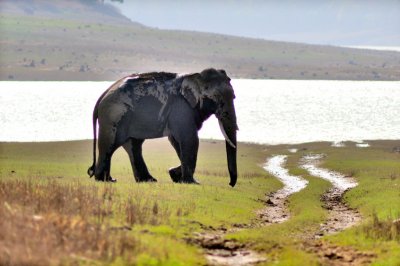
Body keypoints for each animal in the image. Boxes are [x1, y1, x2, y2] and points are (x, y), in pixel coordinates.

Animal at [87, 67, 238, 186]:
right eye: (217, 98)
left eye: (234, 97)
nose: (230, 184)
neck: (196, 76)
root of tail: (102, 95)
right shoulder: (182, 109)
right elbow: (189, 139)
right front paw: (192, 182)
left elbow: (176, 140)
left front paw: (175, 175)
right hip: (113, 116)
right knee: (110, 145)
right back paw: (106, 180)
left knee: (133, 145)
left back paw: (147, 180)